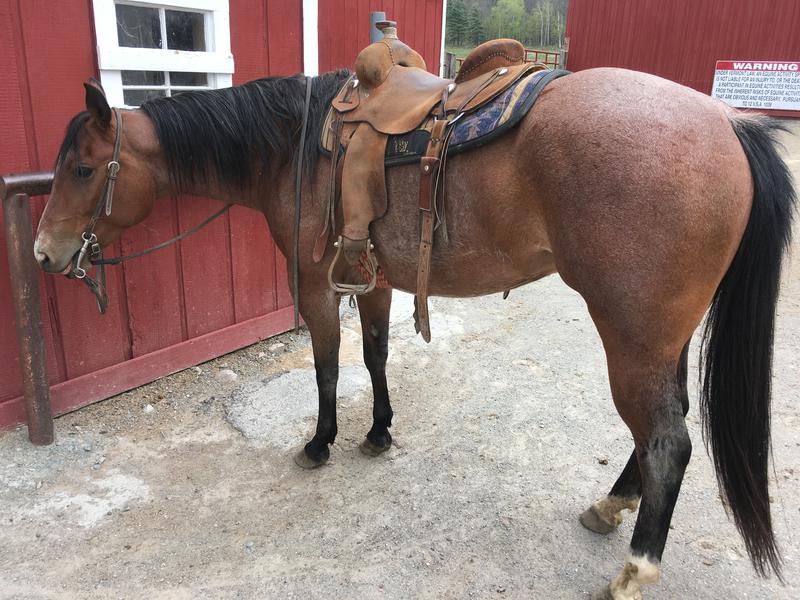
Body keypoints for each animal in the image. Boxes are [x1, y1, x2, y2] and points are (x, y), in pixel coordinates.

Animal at [34, 68, 794, 599]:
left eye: (82, 169)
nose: (44, 253)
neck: (295, 147)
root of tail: (729, 125)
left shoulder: (316, 285)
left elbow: (327, 366)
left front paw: (320, 443)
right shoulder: (372, 278)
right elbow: (374, 357)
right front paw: (377, 432)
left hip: (633, 337)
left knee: (667, 440)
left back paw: (634, 569)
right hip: (662, 338)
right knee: (664, 426)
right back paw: (610, 505)